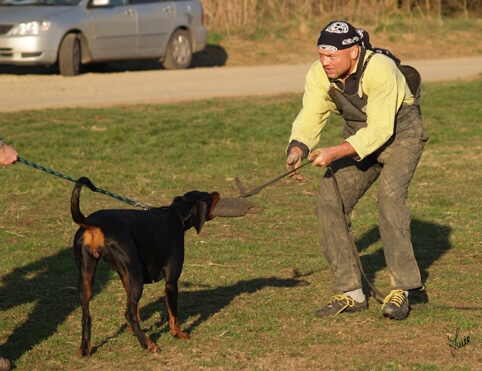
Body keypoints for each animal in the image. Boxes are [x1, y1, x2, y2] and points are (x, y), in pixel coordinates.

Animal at [70, 177, 220, 358]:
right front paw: (179, 334)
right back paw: (149, 344)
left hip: (86, 277)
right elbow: (173, 315)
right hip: (136, 279)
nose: (217, 192)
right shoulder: (171, 281)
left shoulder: (125, 277)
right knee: (128, 314)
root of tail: (92, 223)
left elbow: (136, 309)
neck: (175, 215)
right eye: (208, 196)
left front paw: (132, 331)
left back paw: (85, 348)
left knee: (86, 316)